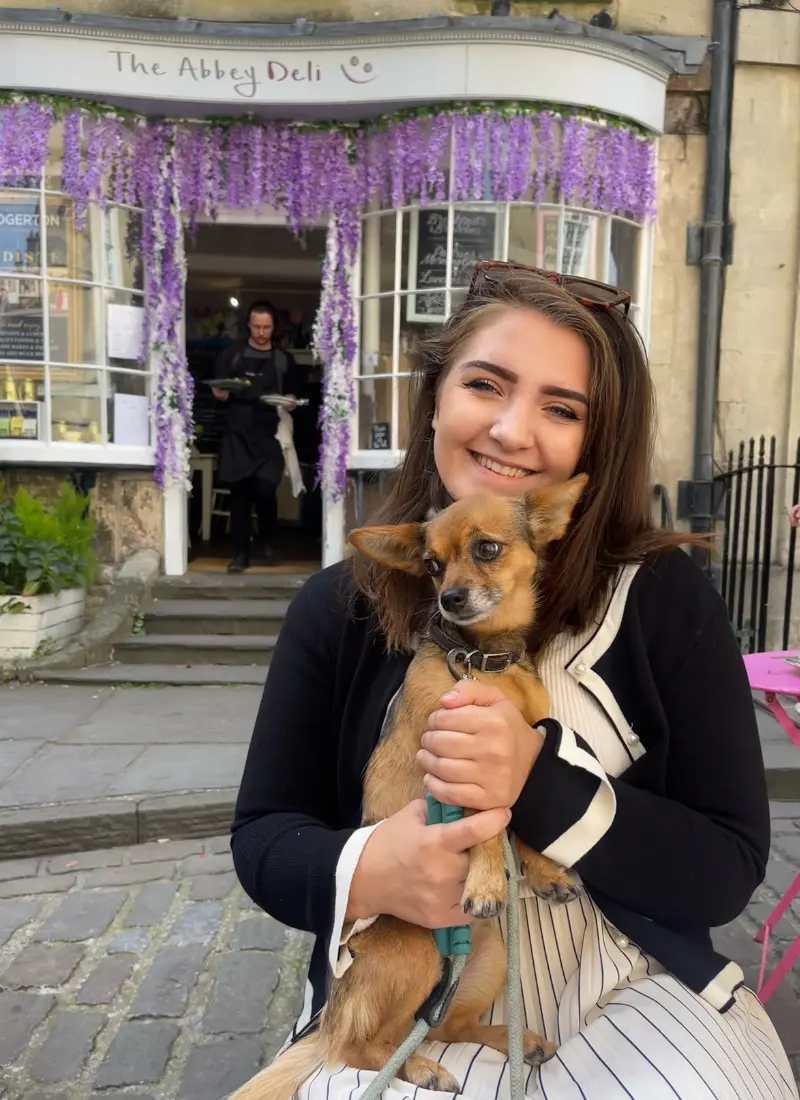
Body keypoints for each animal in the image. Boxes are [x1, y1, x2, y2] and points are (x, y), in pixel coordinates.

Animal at [229, 477, 589, 1100]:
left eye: (487, 549)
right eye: (431, 565)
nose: (449, 599)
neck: (482, 658)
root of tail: (333, 1012)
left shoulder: (514, 761)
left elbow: (516, 820)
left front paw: (545, 872)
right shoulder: (455, 764)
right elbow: (488, 830)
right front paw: (489, 879)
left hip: (489, 962)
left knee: (445, 1024)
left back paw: (512, 1042)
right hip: (417, 954)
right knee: (362, 1047)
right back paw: (419, 1068)